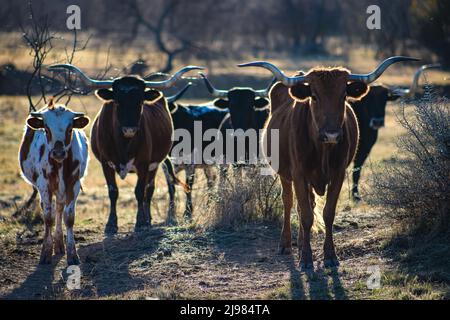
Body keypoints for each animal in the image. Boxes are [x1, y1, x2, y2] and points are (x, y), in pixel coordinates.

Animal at [18, 100, 90, 264]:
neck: (60, 164)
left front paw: (72, 254)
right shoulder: (44, 185)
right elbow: (48, 217)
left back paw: (59, 245)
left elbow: (68, 217)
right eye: (46, 128)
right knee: (50, 209)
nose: (58, 152)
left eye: (70, 129)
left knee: (59, 208)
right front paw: (45, 252)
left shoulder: (73, 184)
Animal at [241, 57, 420, 270]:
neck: (323, 149)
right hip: (284, 173)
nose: (332, 135)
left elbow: (327, 213)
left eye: (343, 95)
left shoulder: (338, 174)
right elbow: (306, 215)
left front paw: (329, 256)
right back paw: (286, 244)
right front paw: (306, 259)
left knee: (306, 204)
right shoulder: (299, 174)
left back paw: (300, 242)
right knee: (289, 201)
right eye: (314, 96)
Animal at [352, 64, 440, 200]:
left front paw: (355, 196)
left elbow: (357, 170)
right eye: (367, 100)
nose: (377, 121)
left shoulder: (365, 149)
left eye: (384, 100)